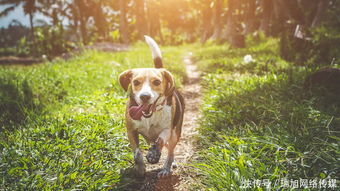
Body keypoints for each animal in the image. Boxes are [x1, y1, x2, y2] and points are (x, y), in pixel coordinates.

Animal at [118, 35, 185, 178]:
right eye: (136, 82)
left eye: (157, 82)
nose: (144, 96)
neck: (150, 115)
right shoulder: (131, 131)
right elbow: (137, 152)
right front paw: (140, 167)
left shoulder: (167, 129)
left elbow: (160, 140)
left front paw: (154, 154)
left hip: (175, 133)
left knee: (170, 151)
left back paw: (166, 167)